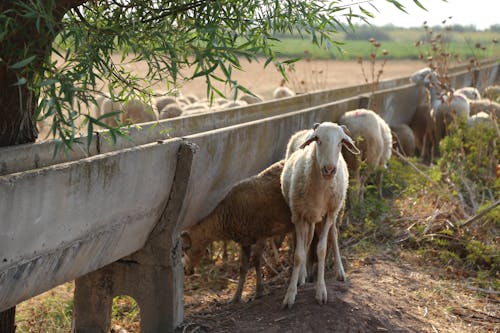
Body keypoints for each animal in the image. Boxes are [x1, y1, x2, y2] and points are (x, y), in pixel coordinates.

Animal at [182, 160, 292, 302]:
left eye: (185, 248)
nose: (185, 270)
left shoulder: (261, 233)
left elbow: (256, 261)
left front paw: (259, 291)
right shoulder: (245, 240)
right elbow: (243, 267)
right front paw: (236, 297)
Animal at [282, 122, 360, 308]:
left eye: (341, 142)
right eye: (317, 139)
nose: (329, 169)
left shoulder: (329, 215)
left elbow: (322, 250)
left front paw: (321, 292)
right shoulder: (298, 215)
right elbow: (298, 255)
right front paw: (290, 294)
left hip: (334, 212)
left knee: (333, 235)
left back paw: (340, 271)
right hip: (308, 216)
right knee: (307, 240)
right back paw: (302, 276)